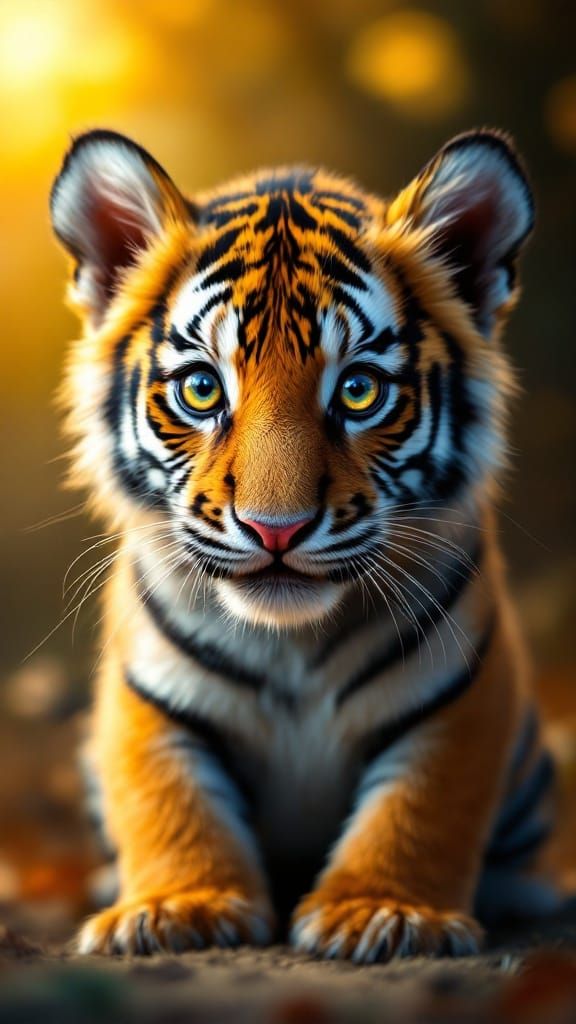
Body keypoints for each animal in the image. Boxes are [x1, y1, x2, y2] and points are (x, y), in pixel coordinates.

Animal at [49, 128, 560, 961]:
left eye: (359, 391)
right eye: (201, 389)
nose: (276, 529)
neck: (291, 642)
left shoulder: (465, 689)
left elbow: (423, 804)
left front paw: (383, 911)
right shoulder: (145, 695)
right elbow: (164, 797)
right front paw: (175, 906)